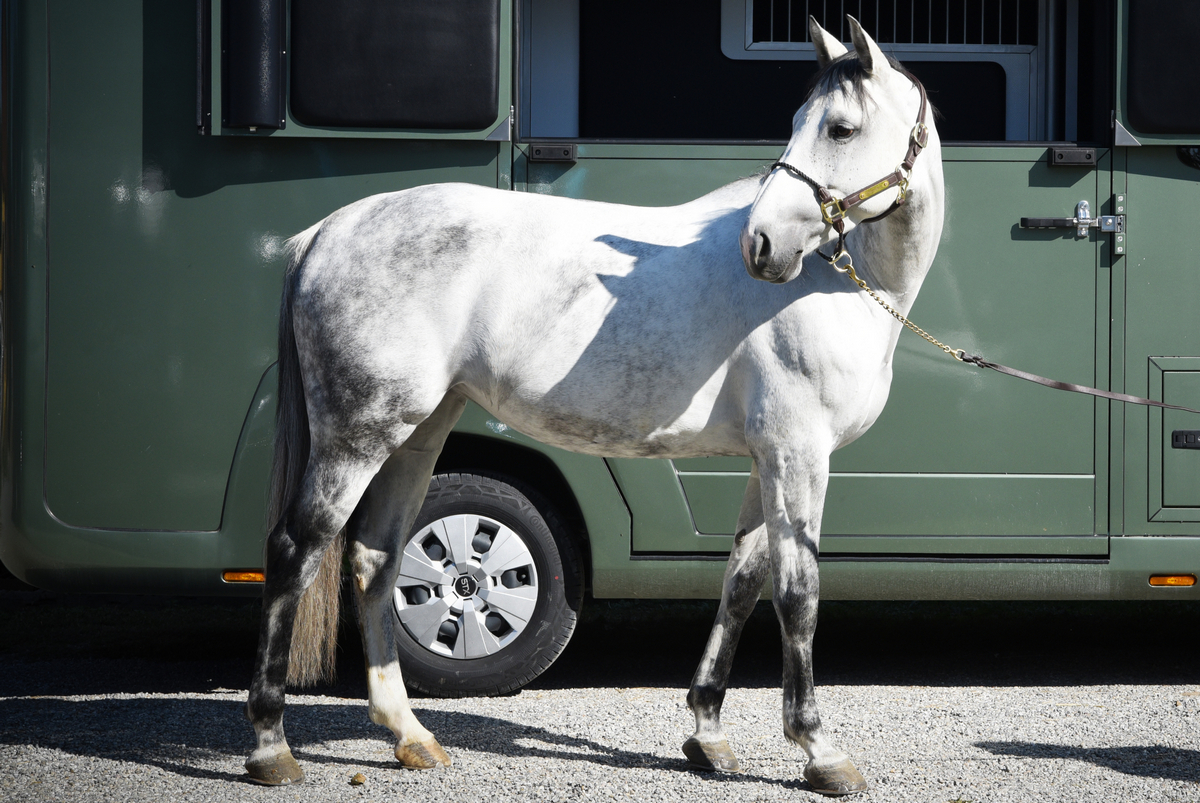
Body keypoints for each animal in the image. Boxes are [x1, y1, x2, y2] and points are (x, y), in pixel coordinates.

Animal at [244, 16, 944, 796]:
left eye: (841, 127)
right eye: (802, 123)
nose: (761, 245)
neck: (836, 286)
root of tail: (327, 231)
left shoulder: (769, 458)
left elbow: (741, 582)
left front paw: (707, 734)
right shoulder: (798, 454)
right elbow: (798, 592)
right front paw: (819, 750)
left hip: (418, 431)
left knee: (374, 558)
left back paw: (410, 736)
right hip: (357, 434)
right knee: (295, 549)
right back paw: (272, 746)